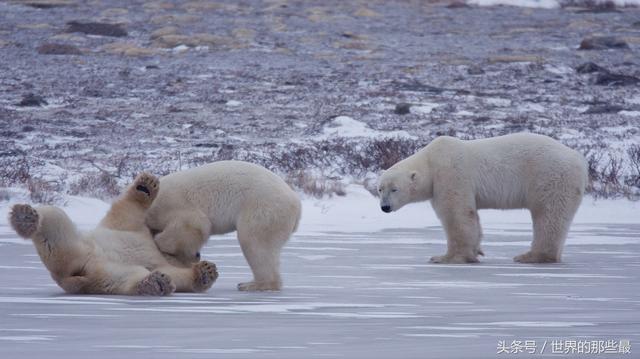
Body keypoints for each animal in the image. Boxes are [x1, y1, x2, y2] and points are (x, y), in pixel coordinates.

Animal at [8, 174, 218, 296]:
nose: (198, 254)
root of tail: (73, 275)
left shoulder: (159, 260)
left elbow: (180, 277)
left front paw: (206, 271)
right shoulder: (132, 229)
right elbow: (128, 210)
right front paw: (146, 185)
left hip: (105, 274)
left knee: (128, 279)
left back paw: (156, 283)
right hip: (81, 247)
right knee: (55, 217)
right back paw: (24, 217)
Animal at [146, 162, 302, 292]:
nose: (197, 255)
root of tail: (296, 202)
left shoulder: (174, 204)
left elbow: (195, 224)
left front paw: (161, 243)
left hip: (264, 209)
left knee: (254, 243)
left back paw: (252, 285)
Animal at [378, 132, 588, 264]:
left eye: (394, 189)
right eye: (380, 189)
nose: (384, 207)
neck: (430, 161)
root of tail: (579, 159)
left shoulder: (451, 174)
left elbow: (457, 213)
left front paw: (446, 258)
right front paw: (476, 251)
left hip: (549, 175)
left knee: (548, 214)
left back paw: (530, 256)